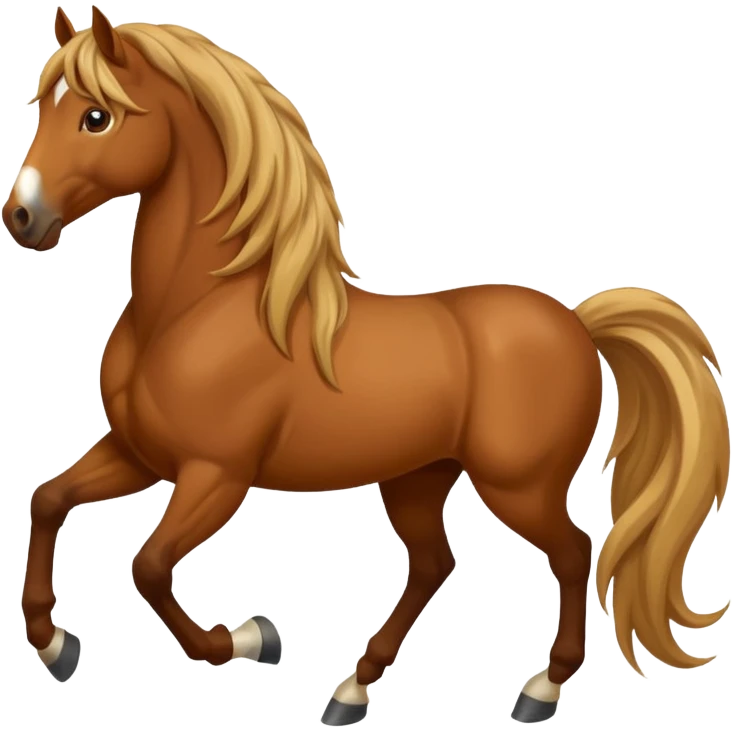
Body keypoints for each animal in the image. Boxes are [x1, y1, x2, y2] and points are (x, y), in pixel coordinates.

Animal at [5, 6, 730, 725]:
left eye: (96, 116)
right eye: (43, 107)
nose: (22, 217)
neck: (195, 308)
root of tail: (578, 325)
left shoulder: (215, 474)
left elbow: (149, 567)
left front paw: (251, 638)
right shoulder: (140, 453)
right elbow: (49, 500)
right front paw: (54, 645)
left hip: (518, 485)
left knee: (574, 552)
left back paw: (539, 690)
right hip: (418, 479)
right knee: (436, 562)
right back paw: (354, 689)